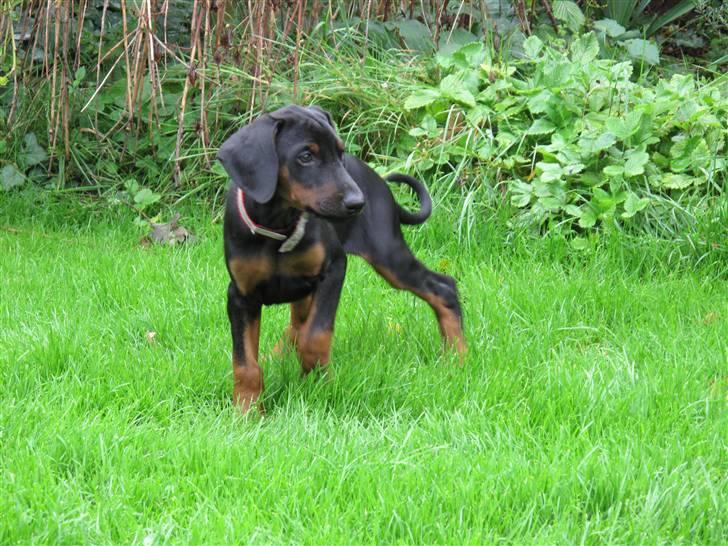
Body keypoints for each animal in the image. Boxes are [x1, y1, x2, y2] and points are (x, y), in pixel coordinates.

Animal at [218, 104, 466, 410]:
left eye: (340, 153)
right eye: (306, 156)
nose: (357, 203)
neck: (278, 228)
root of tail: (380, 185)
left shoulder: (334, 269)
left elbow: (315, 336)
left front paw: (317, 383)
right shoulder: (241, 295)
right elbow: (245, 363)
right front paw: (247, 410)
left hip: (389, 255)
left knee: (443, 287)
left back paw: (458, 359)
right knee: (295, 324)